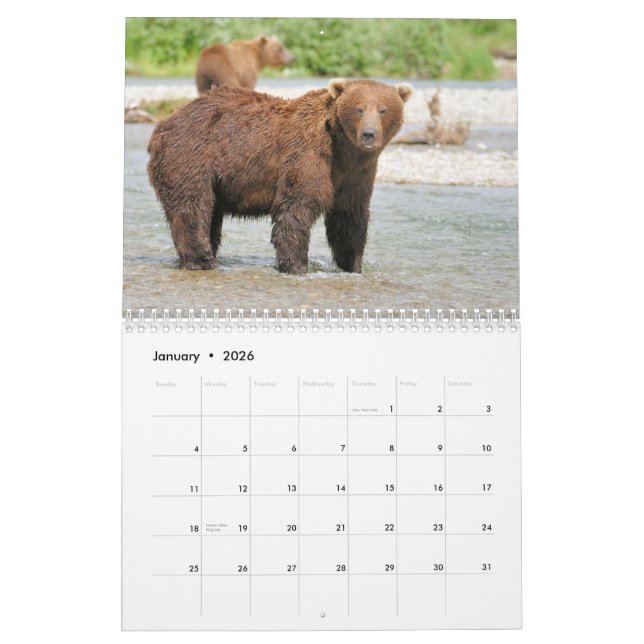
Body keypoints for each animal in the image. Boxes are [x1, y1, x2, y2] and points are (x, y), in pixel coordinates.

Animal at [147, 79, 412, 274]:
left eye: (383, 109)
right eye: (359, 108)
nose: (368, 134)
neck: (343, 150)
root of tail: (164, 123)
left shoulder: (355, 175)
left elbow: (349, 217)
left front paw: (352, 265)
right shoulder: (307, 157)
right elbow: (296, 210)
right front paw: (297, 266)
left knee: (210, 214)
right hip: (192, 156)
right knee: (192, 206)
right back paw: (201, 259)